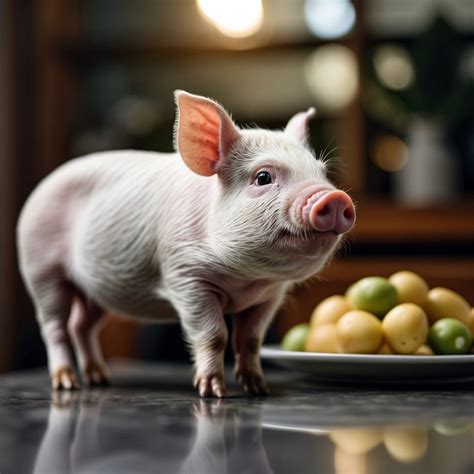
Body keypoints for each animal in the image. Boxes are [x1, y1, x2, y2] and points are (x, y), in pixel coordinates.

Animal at [15, 90, 356, 396]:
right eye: (263, 177)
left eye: (322, 173)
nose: (335, 197)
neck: (245, 280)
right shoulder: (185, 276)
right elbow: (215, 335)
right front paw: (213, 392)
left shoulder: (270, 295)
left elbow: (250, 339)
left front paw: (258, 389)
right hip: (41, 268)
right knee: (54, 326)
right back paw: (67, 383)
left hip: (97, 289)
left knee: (81, 326)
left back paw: (99, 379)